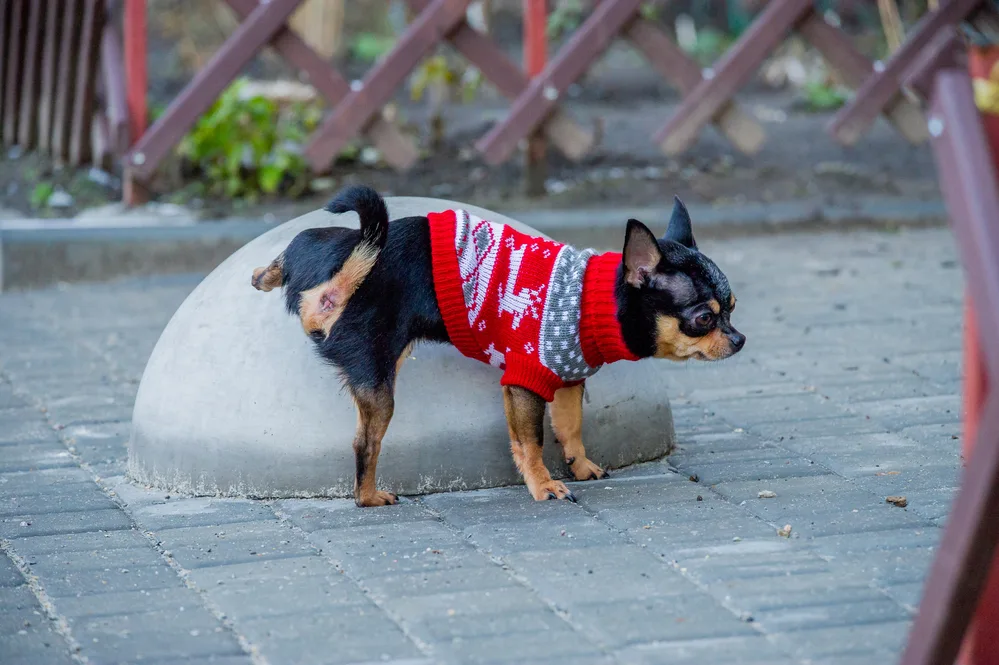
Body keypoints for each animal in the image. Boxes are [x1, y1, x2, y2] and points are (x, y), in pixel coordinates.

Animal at [254, 184, 748, 506]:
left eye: (732, 307)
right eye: (704, 320)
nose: (740, 339)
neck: (594, 299)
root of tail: (331, 291)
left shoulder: (568, 379)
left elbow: (570, 428)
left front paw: (580, 465)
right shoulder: (525, 381)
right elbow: (530, 441)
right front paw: (543, 485)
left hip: (322, 250)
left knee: (300, 242)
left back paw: (266, 272)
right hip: (378, 380)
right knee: (364, 445)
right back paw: (369, 496)